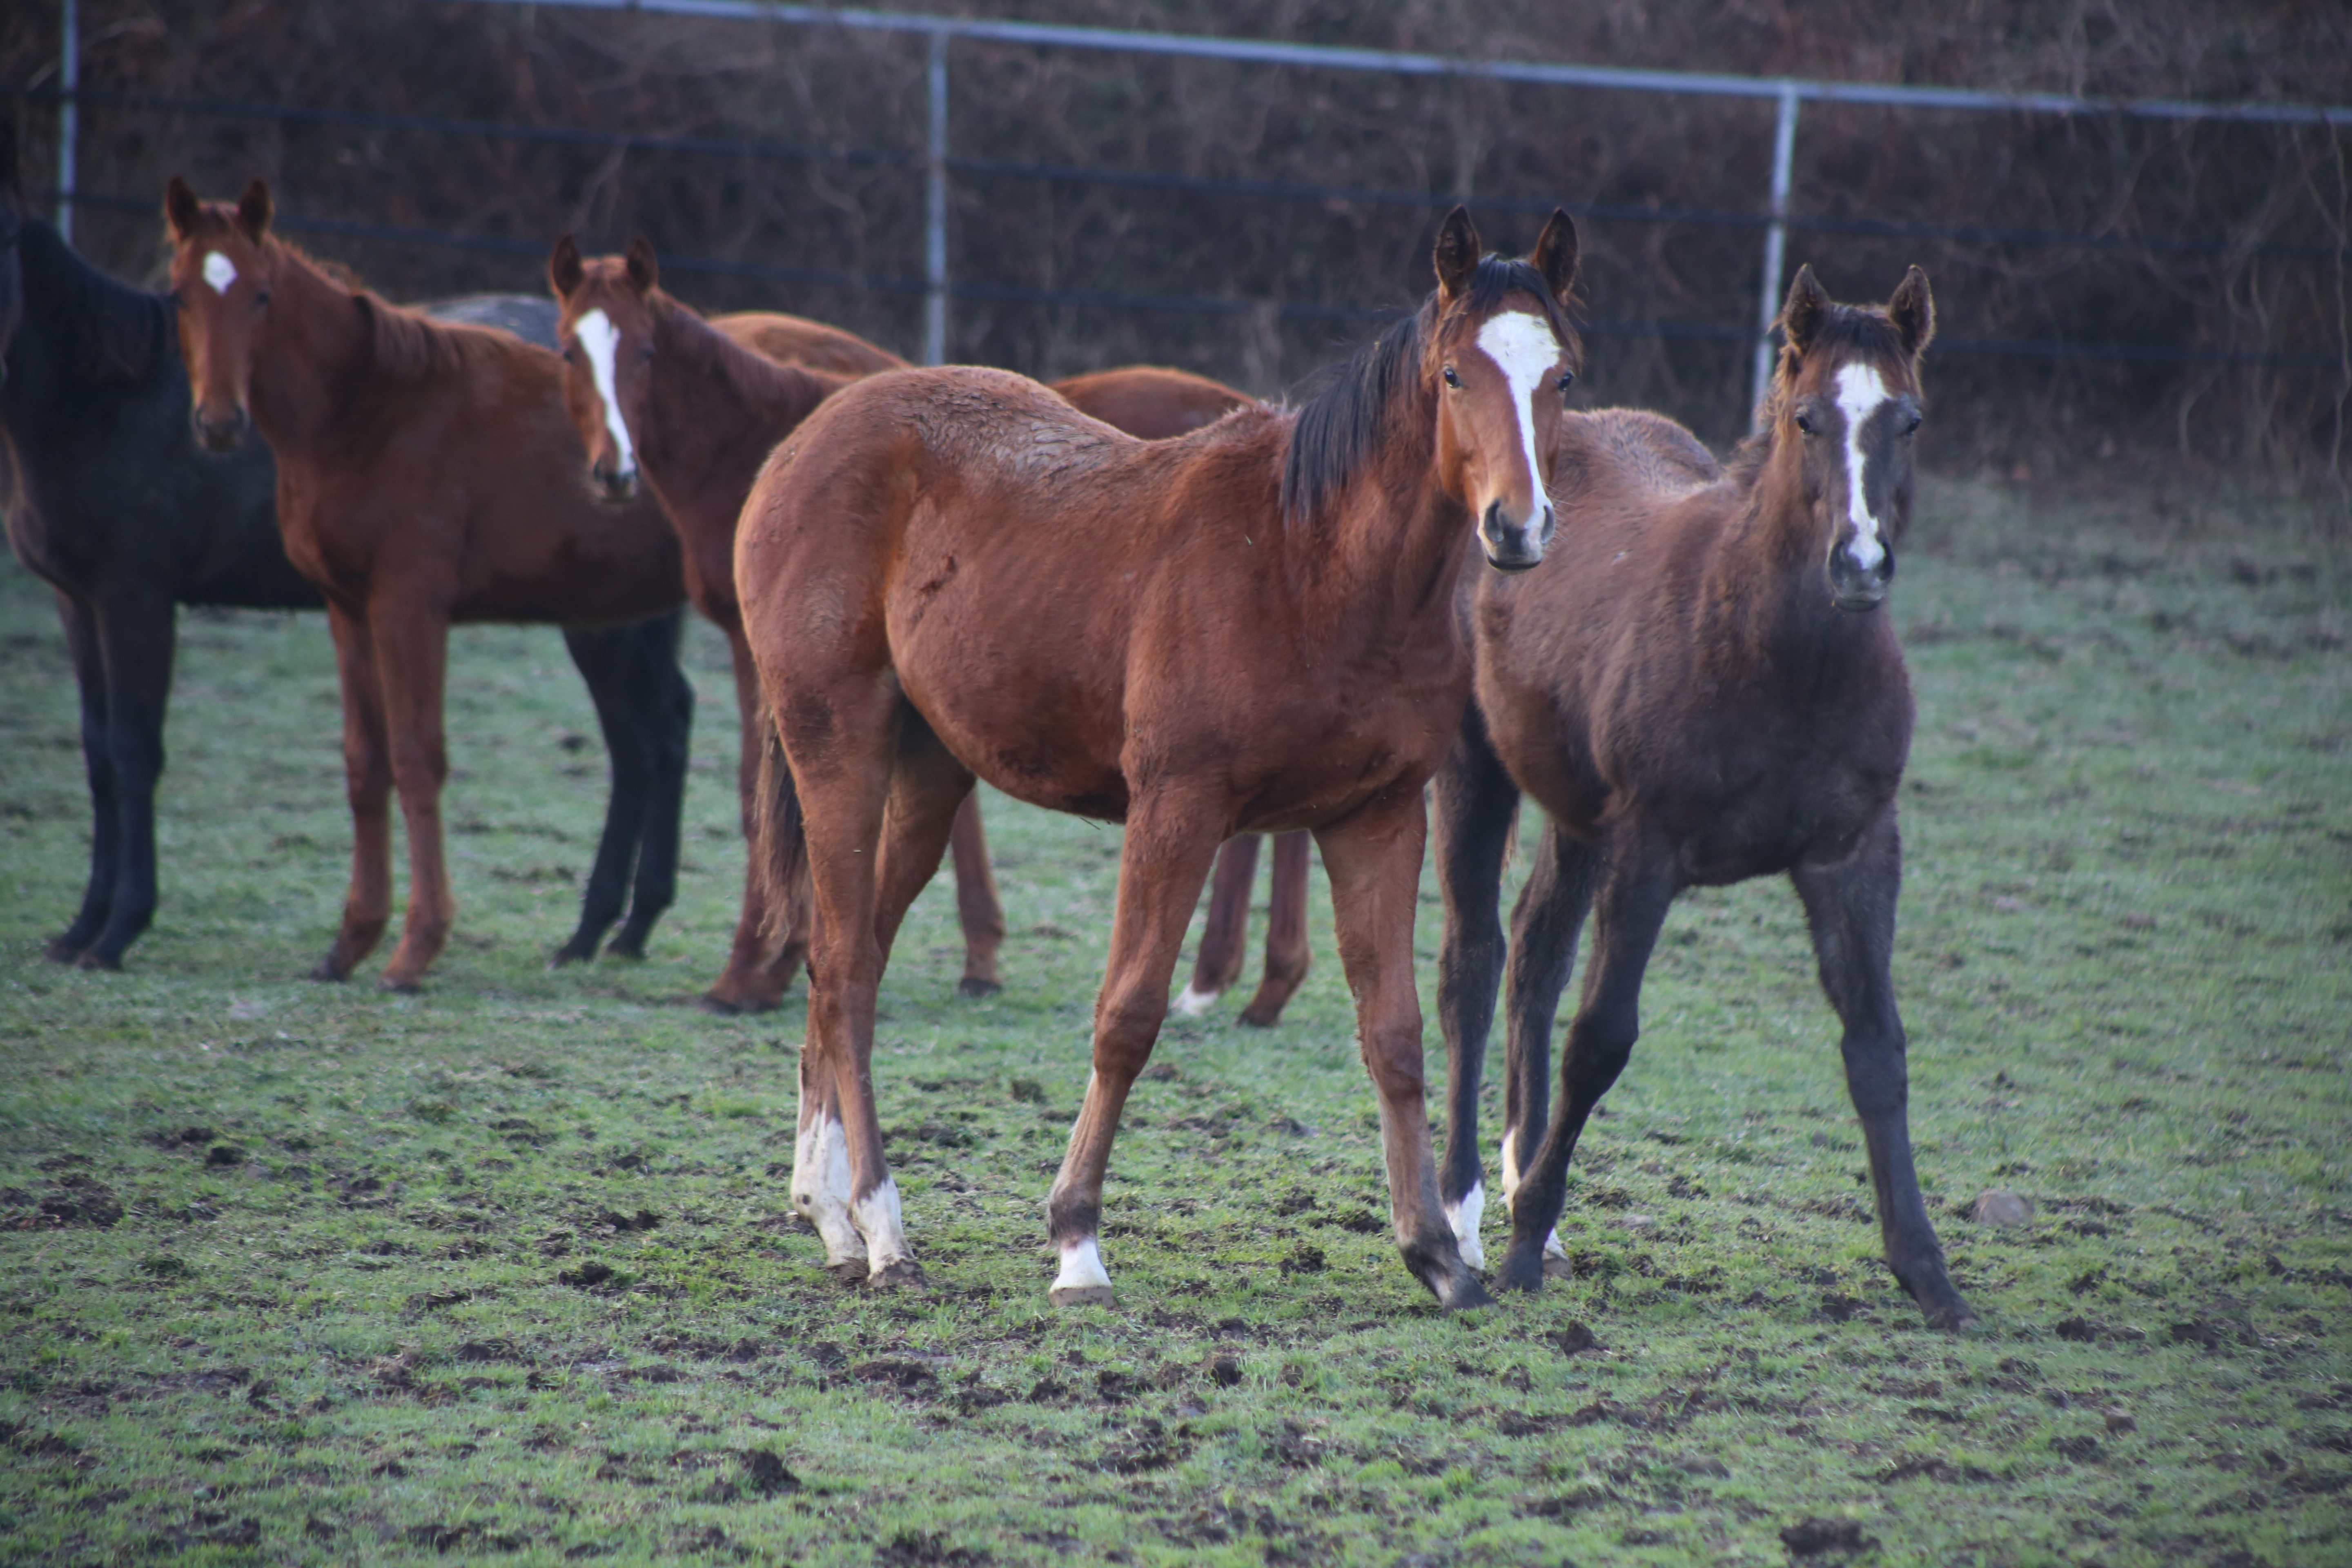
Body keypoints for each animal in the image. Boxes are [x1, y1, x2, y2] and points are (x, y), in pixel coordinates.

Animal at [2, 131, 686, 968]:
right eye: (179, 296)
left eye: (6, 241)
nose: (220, 423)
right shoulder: (81, 600)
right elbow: (103, 755)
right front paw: (83, 928)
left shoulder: (138, 598)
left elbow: (136, 754)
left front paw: (120, 927)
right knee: (658, 730)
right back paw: (615, 928)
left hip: (605, 618)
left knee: (643, 737)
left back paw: (609, 927)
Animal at [552, 232, 1326, 1020]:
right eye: (568, 352)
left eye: (645, 351)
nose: (612, 471)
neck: (758, 443)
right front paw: (974, 955)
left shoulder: (765, 651)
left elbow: (757, 805)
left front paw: (752, 971)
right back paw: (1254, 983)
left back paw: (1232, 981)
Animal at [734, 212, 1580, 1316]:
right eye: (1450, 374)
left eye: (1561, 375)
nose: (1516, 527)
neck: (1308, 563)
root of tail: (805, 440)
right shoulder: (1177, 806)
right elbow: (1128, 1016)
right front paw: (1076, 1242)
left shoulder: (1378, 815)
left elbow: (1393, 1034)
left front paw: (1435, 1251)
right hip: (837, 740)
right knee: (837, 961)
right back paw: (881, 1228)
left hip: (929, 772)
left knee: (856, 960)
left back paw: (828, 1211)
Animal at [1421, 263, 1976, 1335]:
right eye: (1805, 418)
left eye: (1911, 419)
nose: (1858, 565)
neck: (1780, 661)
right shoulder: (1649, 848)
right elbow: (1602, 1038)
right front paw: (1518, 1250)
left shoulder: (1855, 852)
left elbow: (1876, 1048)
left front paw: (1927, 1272)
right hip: (1476, 770)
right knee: (1474, 962)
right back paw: (1469, 1216)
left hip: (1576, 813)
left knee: (1535, 957)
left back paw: (1525, 1194)